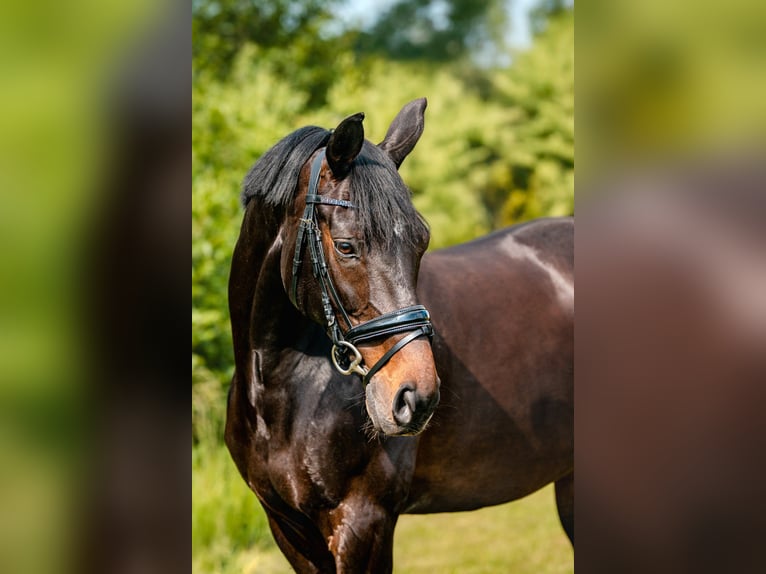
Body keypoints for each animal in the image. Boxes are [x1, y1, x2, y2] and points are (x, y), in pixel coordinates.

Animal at [225, 98, 573, 572]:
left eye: (420, 241)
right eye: (346, 246)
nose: (416, 397)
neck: (277, 387)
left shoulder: (363, 521)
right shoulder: (288, 527)